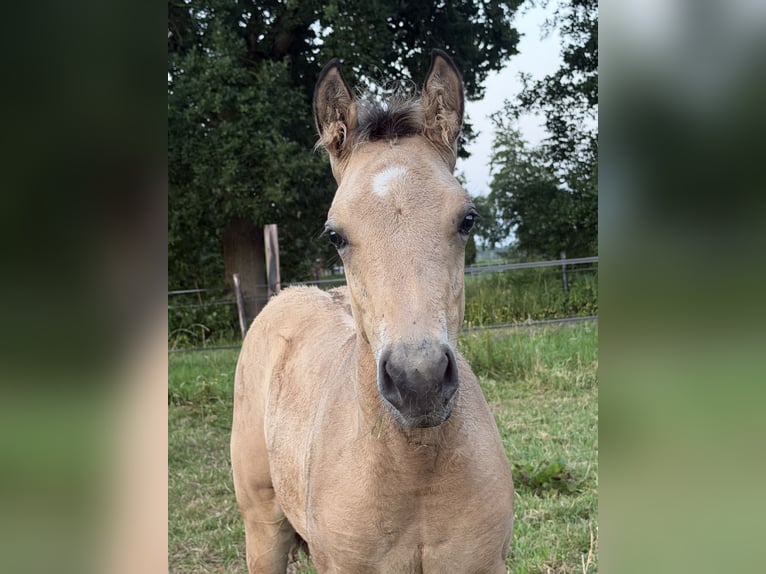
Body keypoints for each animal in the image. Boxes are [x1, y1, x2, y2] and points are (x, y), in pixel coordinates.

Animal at [231, 49, 514, 573]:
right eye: (335, 235)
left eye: (467, 219)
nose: (418, 380)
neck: (414, 473)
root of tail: (287, 295)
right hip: (262, 528)